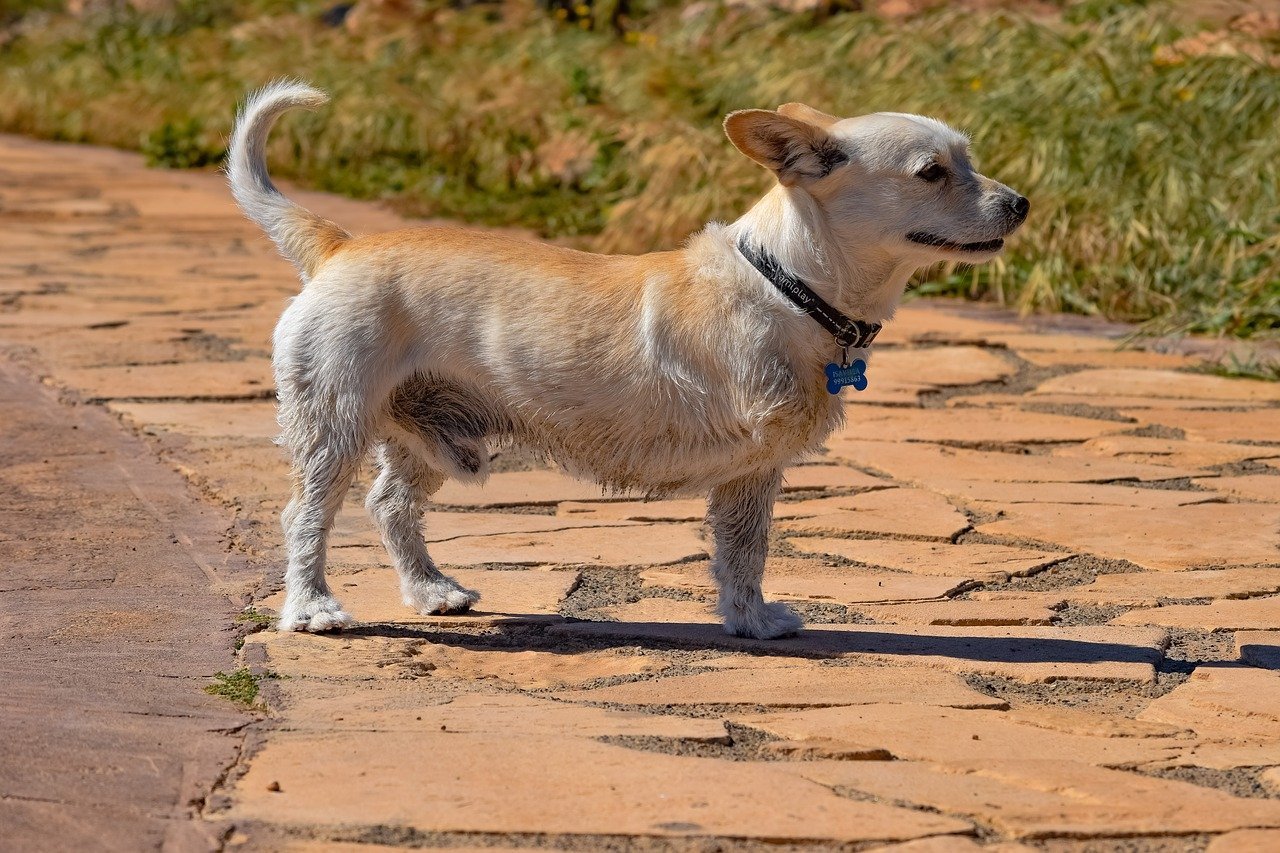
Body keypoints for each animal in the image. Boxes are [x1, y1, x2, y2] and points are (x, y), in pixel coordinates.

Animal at [230, 81, 1029, 637]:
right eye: (932, 173)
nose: (1022, 203)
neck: (790, 283)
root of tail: (340, 244)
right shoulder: (751, 464)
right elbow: (744, 551)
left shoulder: (753, 474)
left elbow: (744, 553)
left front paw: (751, 621)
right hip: (333, 421)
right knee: (305, 514)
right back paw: (312, 608)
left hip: (427, 433)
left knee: (390, 505)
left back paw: (432, 590)